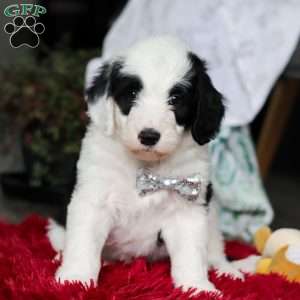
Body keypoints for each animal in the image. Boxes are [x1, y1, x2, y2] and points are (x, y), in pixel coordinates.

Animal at [48, 35, 241, 292]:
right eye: (131, 93)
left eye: (175, 99)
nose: (149, 136)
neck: (147, 168)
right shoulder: (94, 197)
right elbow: (83, 242)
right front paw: (74, 279)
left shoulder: (188, 208)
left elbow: (191, 252)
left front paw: (197, 287)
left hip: (213, 212)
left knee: (215, 246)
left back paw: (227, 269)